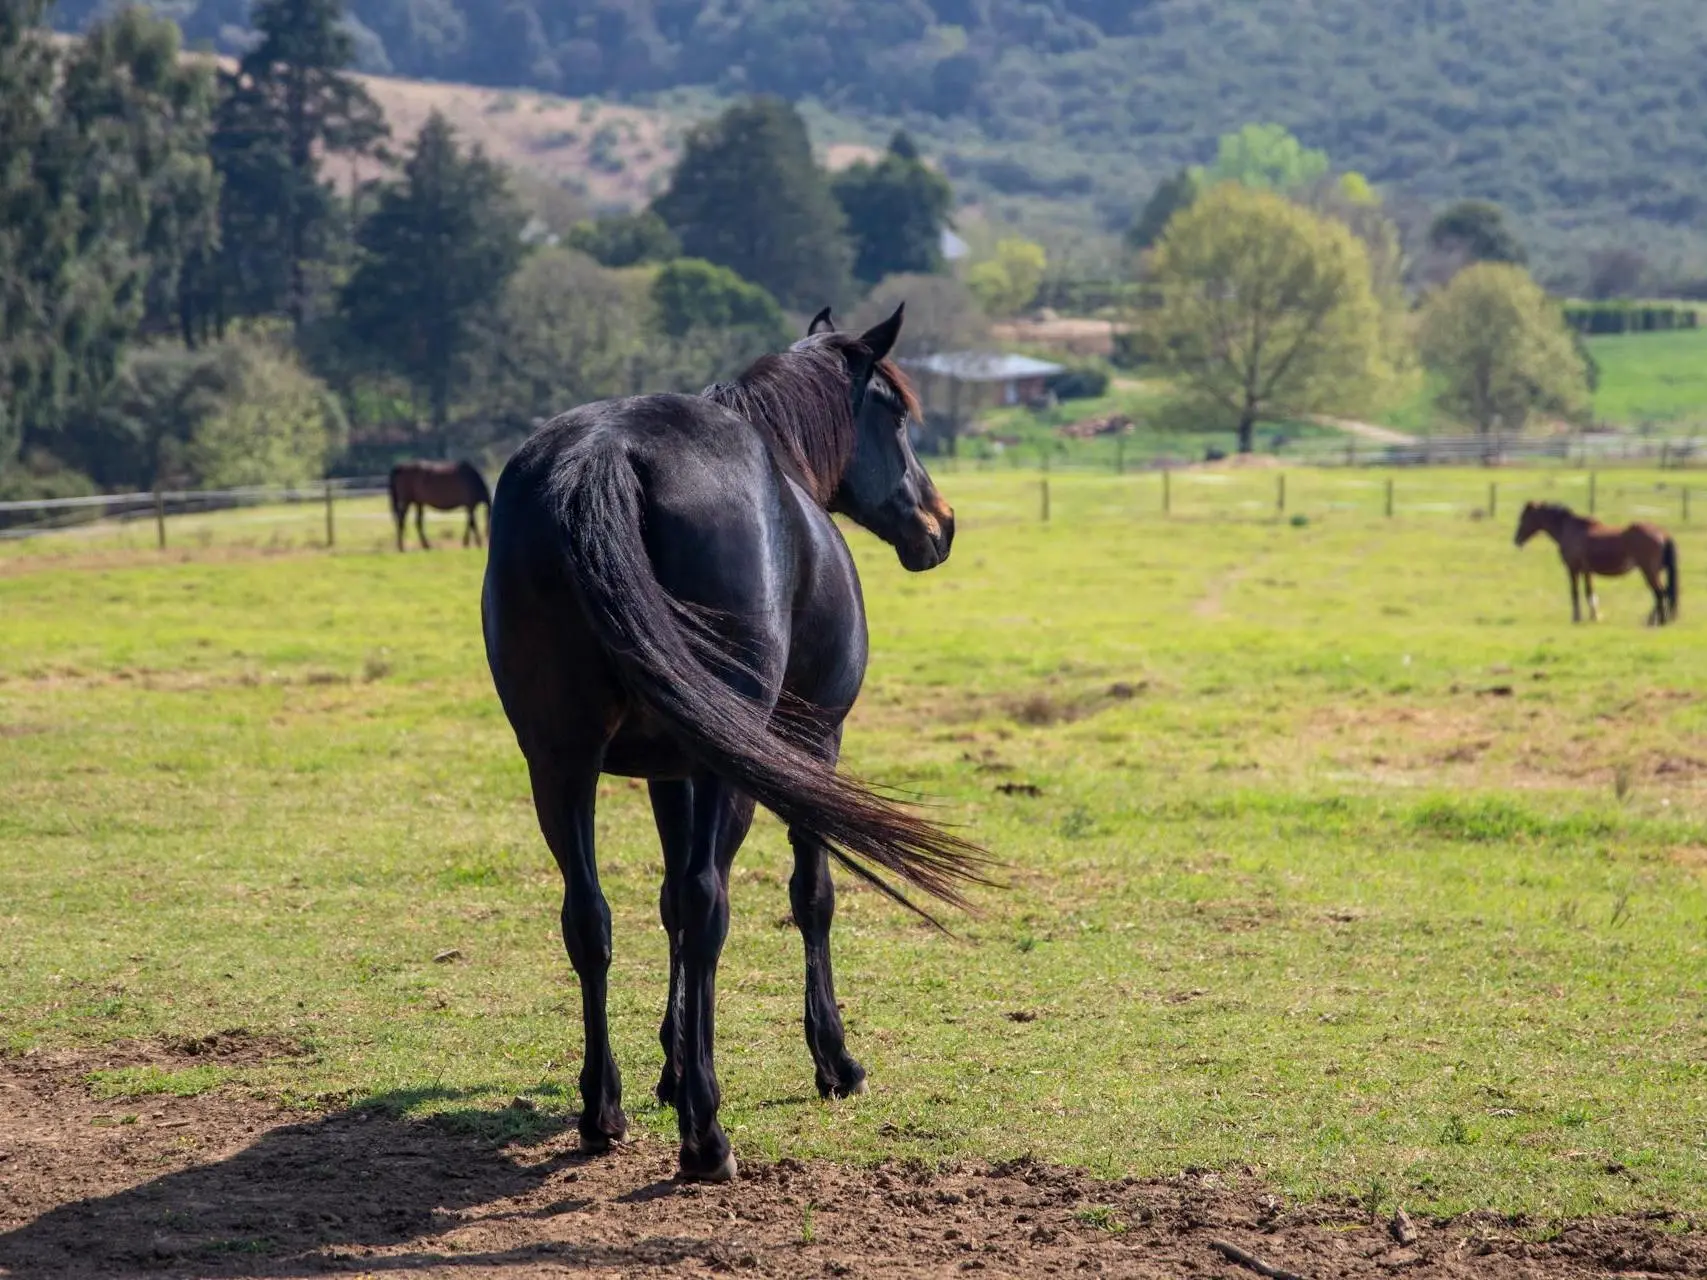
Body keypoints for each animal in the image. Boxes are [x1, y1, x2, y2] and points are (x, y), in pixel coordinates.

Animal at [481, 308, 990, 1181]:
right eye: (893, 414)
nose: (939, 522)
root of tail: (603, 457)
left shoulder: (667, 773)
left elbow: (662, 907)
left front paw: (669, 1065)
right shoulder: (810, 747)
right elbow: (806, 895)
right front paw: (831, 1060)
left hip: (559, 763)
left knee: (590, 917)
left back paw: (602, 1109)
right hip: (730, 762)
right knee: (706, 902)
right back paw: (705, 1135)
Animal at [1515, 501, 1672, 628]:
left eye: (1524, 518)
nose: (1516, 540)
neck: (1570, 530)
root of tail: (1662, 534)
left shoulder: (1573, 569)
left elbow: (1575, 592)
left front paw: (1576, 618)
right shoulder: (1587, 571)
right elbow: (1589, 591)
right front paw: (1594, 617)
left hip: (1649, 571)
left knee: (1660, 593)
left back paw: (1659, 621)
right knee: (1662, 593)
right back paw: (1654, 620)